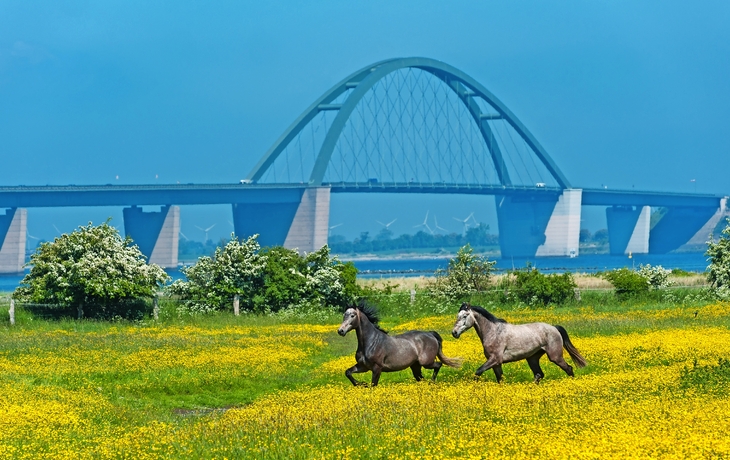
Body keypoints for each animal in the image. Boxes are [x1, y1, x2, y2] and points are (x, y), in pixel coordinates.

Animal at [450, 304, 584, 382]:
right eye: (458, 316)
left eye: (465, 316)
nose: (454, 332)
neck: (493, 332)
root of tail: (554, 328)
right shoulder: (496, 364)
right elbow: (500, 379)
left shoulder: (495, 359)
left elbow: (478, 372)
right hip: (532, 358)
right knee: (539, 374)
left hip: (555, 356)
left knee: (569, 369)